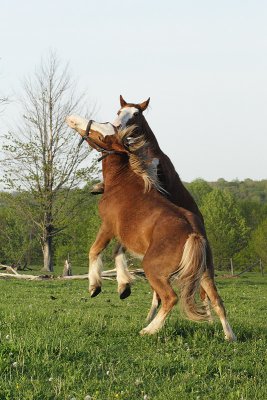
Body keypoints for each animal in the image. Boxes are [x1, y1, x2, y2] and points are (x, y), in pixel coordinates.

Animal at [66, 117, 237, 340]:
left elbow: (95, 251)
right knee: (217, 301)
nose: (72, 119)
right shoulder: (126, 234)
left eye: (102, 134)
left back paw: (148, 329)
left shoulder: (108, 226)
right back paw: (229, 336)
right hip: (206, 273)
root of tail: (193, 234)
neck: (123, 182)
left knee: (170, 298)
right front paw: (123, 286)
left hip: (153, 270)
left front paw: (95, 286)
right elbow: (117, 252)